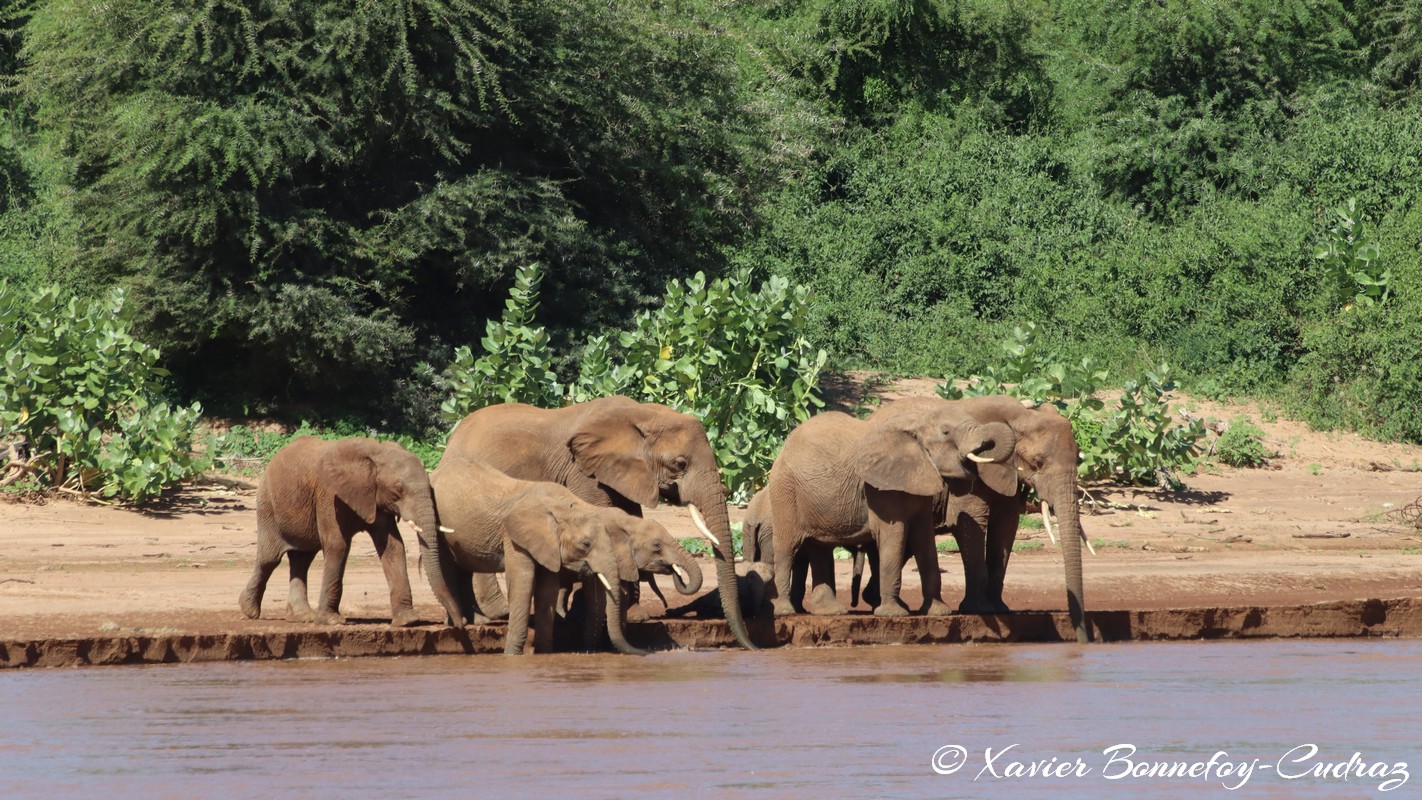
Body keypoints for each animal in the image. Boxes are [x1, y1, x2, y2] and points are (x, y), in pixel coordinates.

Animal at [240, 436, 460, 627]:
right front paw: (332, 622)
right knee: (270, 559)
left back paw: (303, 617)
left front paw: (408, 621)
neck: (376, 452)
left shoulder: (376, 499)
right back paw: (249, 611)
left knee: (302, 559)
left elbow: (393, 546)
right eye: (398, 490)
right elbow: (338, 545)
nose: (459, 623)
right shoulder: (329, 495)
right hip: (267, 505)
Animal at [428, 457, 646, 655]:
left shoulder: (548, 546)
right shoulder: (514, 536)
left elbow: (547, 588)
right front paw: (511, 656)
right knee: (447, 566)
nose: (643, 653)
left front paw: (543, 653)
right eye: (585, 544)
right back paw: (459, 622)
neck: (562, 506)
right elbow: (522, 581)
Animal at [763, 408, 1014, 618]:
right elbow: (894, 537)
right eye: (946, 432)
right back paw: (784, 611)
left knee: (820, 547)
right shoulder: (880, 490)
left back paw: (831, 611)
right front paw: (893, 614)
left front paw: (938, 612)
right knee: (787, 548)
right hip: (785, 491)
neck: (914, 424)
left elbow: (925, 541)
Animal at [870, 395, 1090, 643]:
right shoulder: (969, 478)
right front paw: (979, 609)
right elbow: (968, 525)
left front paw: (1000, 609)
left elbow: (1005, 531)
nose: (1083, 642)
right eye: (1038, 462)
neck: (1020, 416)